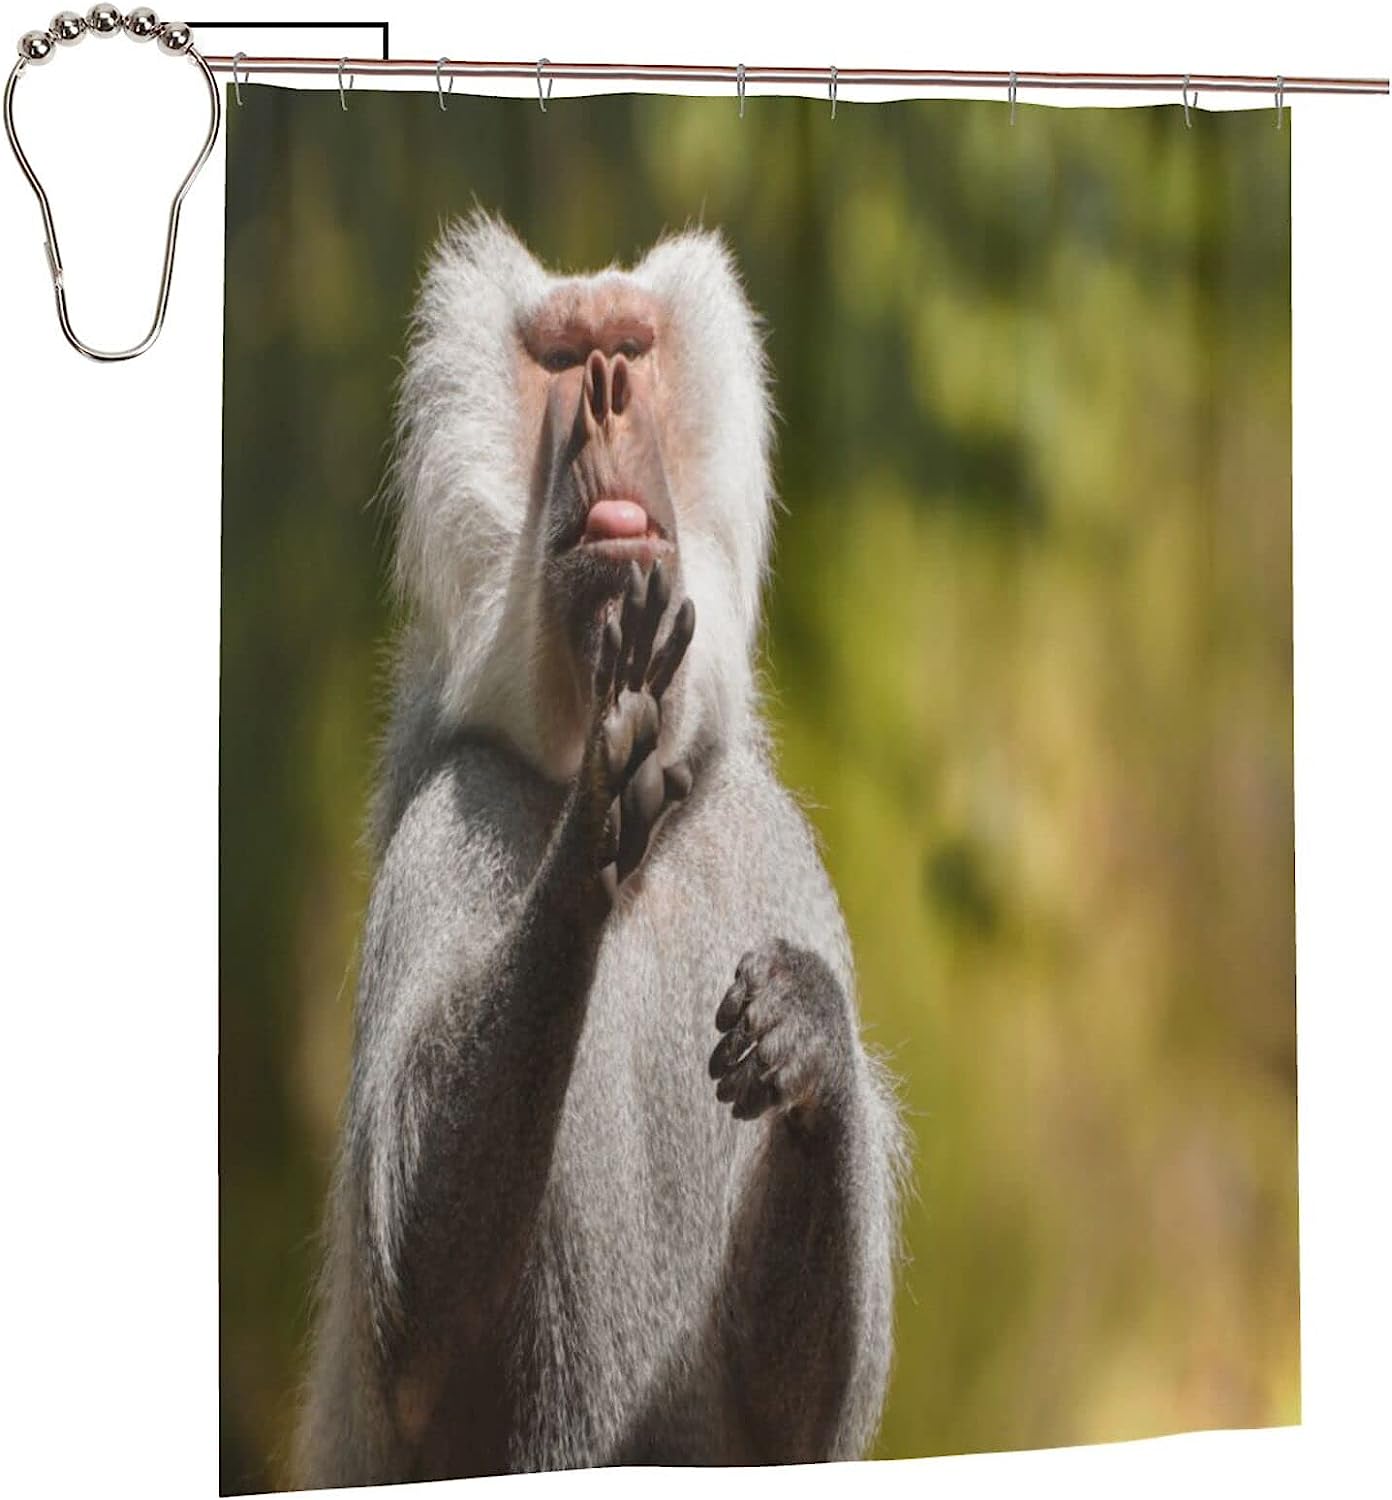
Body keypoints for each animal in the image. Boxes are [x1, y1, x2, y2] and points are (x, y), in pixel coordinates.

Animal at [293, 212, 908, 1489]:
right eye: (566, 357)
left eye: (629, 346)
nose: (610, 389)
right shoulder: (446, 824)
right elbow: (414, 1319)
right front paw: (594, 821)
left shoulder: (769, 850)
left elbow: (801, 1427)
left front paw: (809, 1037)